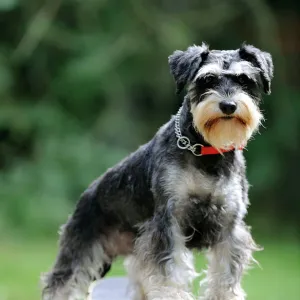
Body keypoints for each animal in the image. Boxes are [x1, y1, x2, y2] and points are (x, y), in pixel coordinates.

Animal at [41, 42, 274, 300]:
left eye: (244, 80)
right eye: (207, 80)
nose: (228, 106)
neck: (206, 151)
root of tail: (87, 193)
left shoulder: (229, 227)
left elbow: (225, 276)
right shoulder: (168, 221)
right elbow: (168, 271)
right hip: (81, 250)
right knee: (62, 283)